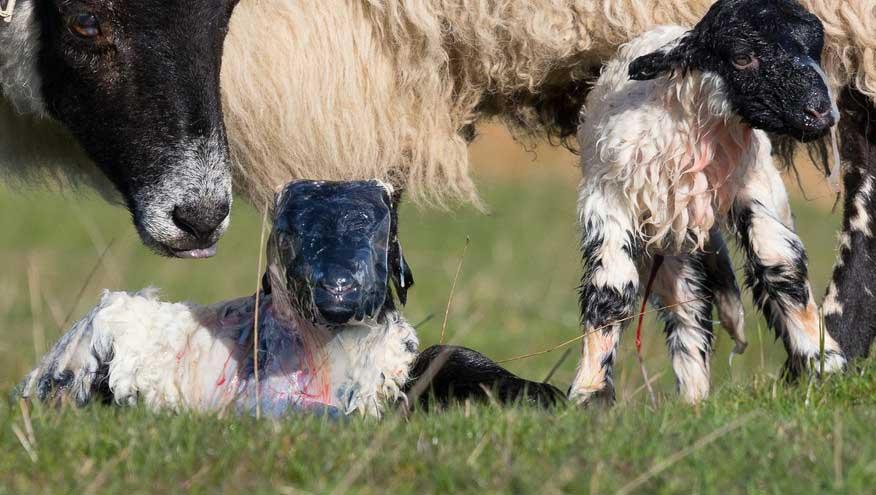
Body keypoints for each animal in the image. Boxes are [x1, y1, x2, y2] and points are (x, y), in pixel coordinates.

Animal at [572, 0, 844, 406]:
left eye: (816, 49)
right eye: (742, 57)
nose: (820, 113)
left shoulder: (755, 189)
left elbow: (781, 266)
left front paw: (826, 360)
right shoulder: (609, 201)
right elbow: (612, 290)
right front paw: (588, 392)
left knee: (692, 306)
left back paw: (695, 398)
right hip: (666, 239)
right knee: (686, 307)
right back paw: (693, 397)